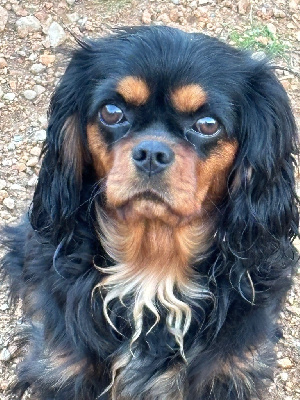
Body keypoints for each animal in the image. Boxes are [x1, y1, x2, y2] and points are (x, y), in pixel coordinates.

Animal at [1, 26, 298, 398]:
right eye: (111, 111)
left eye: (207, 123)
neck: (153, 268)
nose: (152, 153)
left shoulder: (228, 373)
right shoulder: (62, 368)